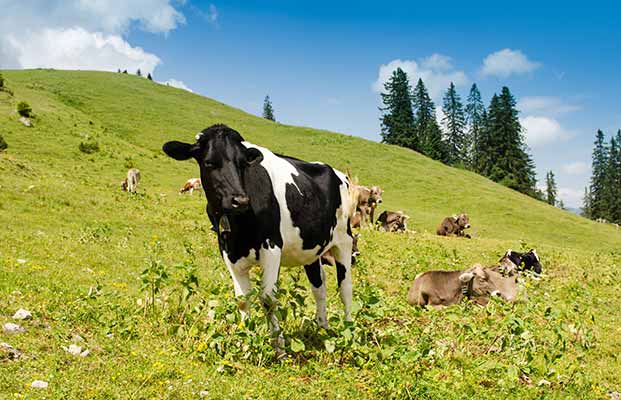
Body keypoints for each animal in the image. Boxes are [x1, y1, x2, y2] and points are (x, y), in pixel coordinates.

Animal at [163, 123, 358, 354]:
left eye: (243, 163)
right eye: (209, 162)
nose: (240, 200)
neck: (239, 226)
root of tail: (338, 173)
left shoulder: (272, 247)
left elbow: (268, 298)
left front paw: (279, 346)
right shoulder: (227, 250)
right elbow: (242, 300)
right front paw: (244, 341)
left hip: (344, 241)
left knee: (345, 288)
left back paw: (348, 332)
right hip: (311, 250)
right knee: (319, 287)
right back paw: (322, 328)